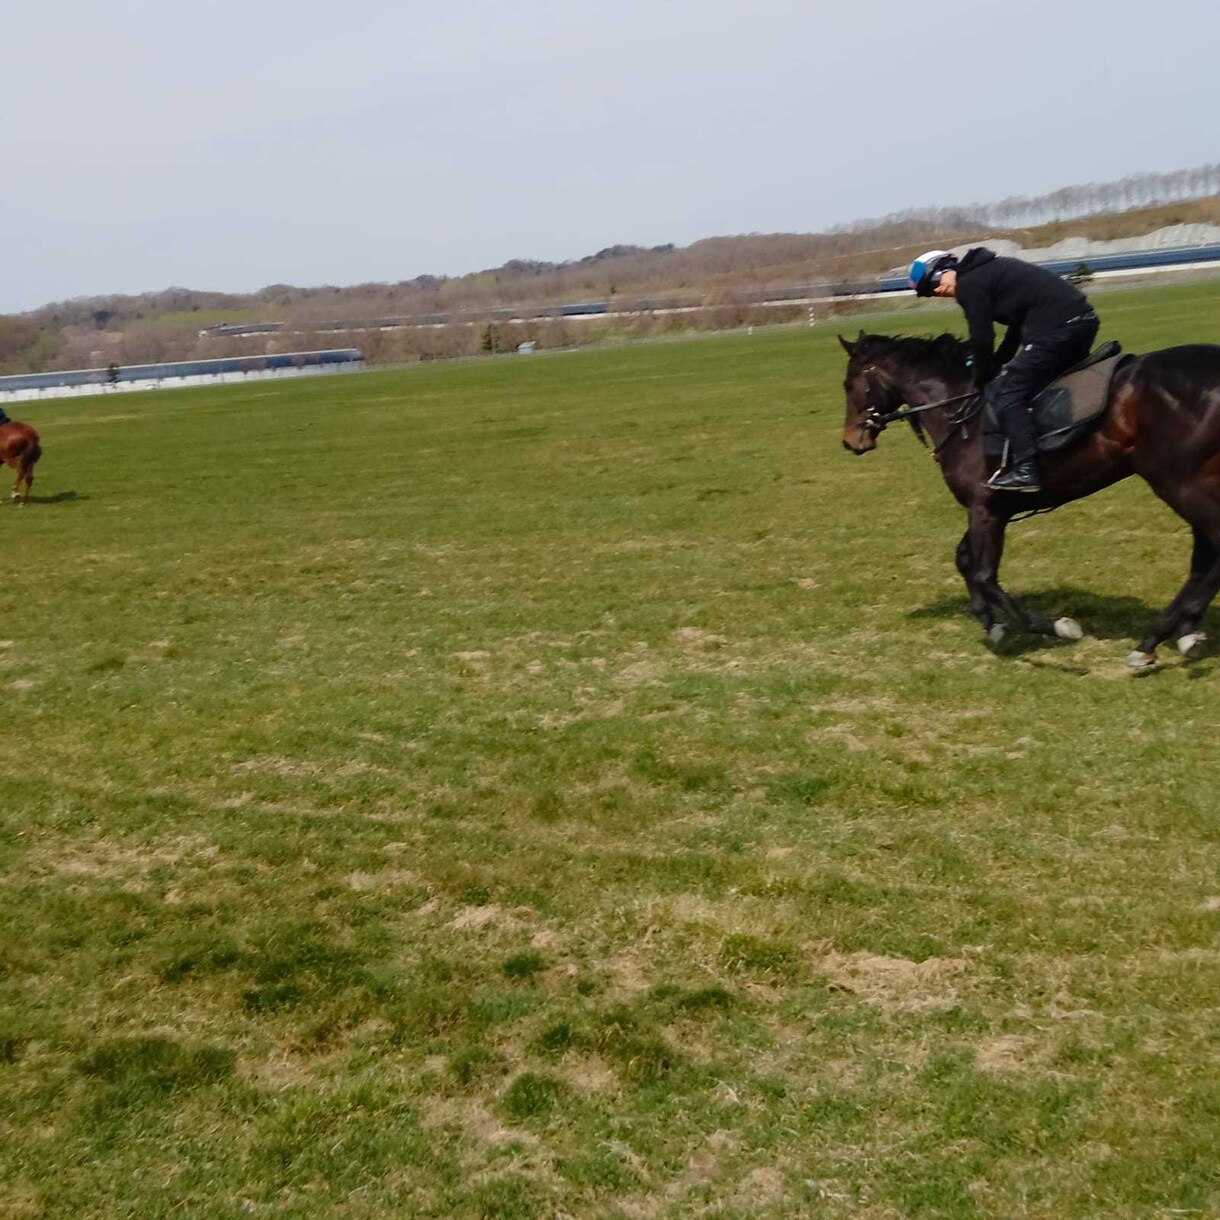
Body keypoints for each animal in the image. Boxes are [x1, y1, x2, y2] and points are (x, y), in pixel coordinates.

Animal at [839, 330, 1220, 668]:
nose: (850, 441)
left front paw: (1056, 626)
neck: (962, 413)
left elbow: (984, 574)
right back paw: (1175, 634)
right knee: (1204, 559)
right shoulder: (991, 509)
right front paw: (991, 624)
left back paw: (1158, 637)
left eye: (848, 385)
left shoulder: (985, 510)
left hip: (1179, 483)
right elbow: (965, 560)